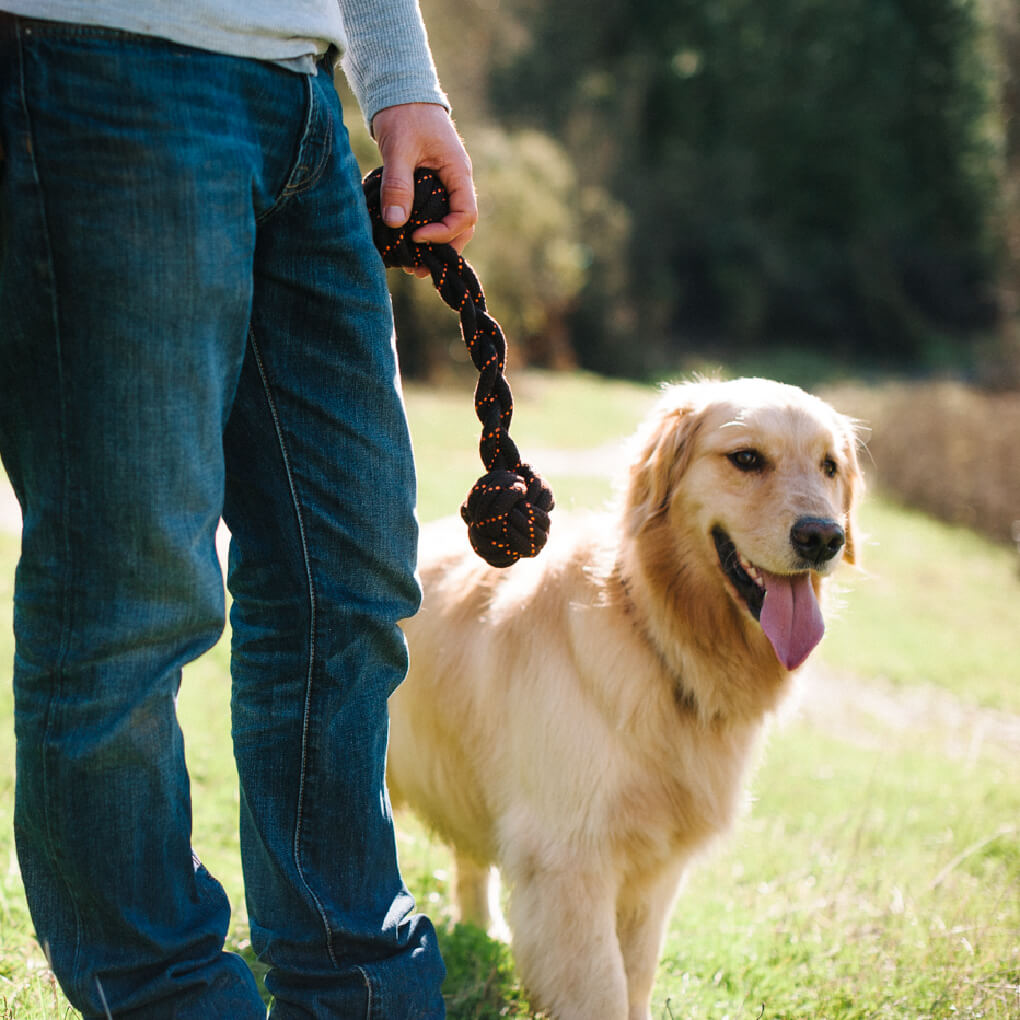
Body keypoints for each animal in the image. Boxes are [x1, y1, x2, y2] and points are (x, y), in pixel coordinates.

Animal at [387, 379, 860, 1015]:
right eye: (746, 458)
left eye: (829, 466)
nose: (824, 537)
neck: (659, 634)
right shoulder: (570, 858)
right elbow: (600, 987)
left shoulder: (655, 868)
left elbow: (635, 972)